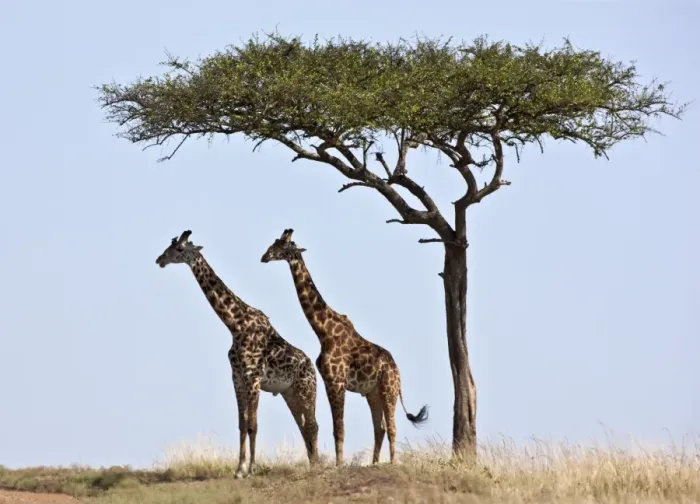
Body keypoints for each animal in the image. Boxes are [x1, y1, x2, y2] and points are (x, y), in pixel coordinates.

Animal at [155, 230, 319, 478]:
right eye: (169, 247)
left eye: (179, 249)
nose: (160, 260)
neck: (235, 325)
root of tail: (312, 367)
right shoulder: (237, 378)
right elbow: (242, 424)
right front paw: (239, 469)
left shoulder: (253, 378)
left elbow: (253, 424)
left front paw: (250, 469)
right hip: (289, 393)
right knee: (303, 426)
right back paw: (312, 463)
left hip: (307, 390)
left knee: (312, 425)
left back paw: (320, 464)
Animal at [261, 228, 428, 466]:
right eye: (274, 242)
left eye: (283, 246)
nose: (264, 257)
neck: (323, 331)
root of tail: (397, 371)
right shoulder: (329, 382)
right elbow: (336, 427)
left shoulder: (336, 381)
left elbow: (339, 428)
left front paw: (339, 465)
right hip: (373, 392)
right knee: (380, 427)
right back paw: (374, 463)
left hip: (389, 389)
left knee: (392, 427)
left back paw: (392, 462)